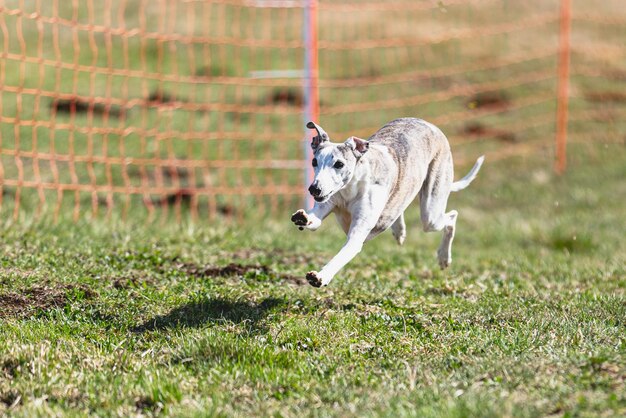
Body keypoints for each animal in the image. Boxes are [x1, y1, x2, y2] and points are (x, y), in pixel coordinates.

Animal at [288, 117, 482, 288]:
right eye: (314, 161)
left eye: (339, 164)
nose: (314, 189)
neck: (350, 189)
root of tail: (429, 124)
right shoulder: (328, 202)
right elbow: (314, 222)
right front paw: (303, 217)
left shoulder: (357, 234)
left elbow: (343, 253)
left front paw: (321, 276)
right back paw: (399, 230)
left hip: (431, 212)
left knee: (451, 216)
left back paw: (443, 257)